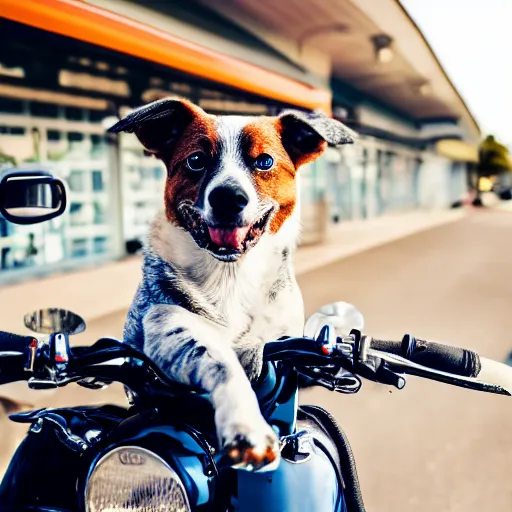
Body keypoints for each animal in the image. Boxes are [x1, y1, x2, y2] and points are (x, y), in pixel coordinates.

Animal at [109, 98, 356, 470]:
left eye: (264, 161)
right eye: (196, 160)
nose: (228, 197)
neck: (231, 275)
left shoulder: (283, 332)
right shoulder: (168, 325)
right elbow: (223, 364)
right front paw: (245, 425)